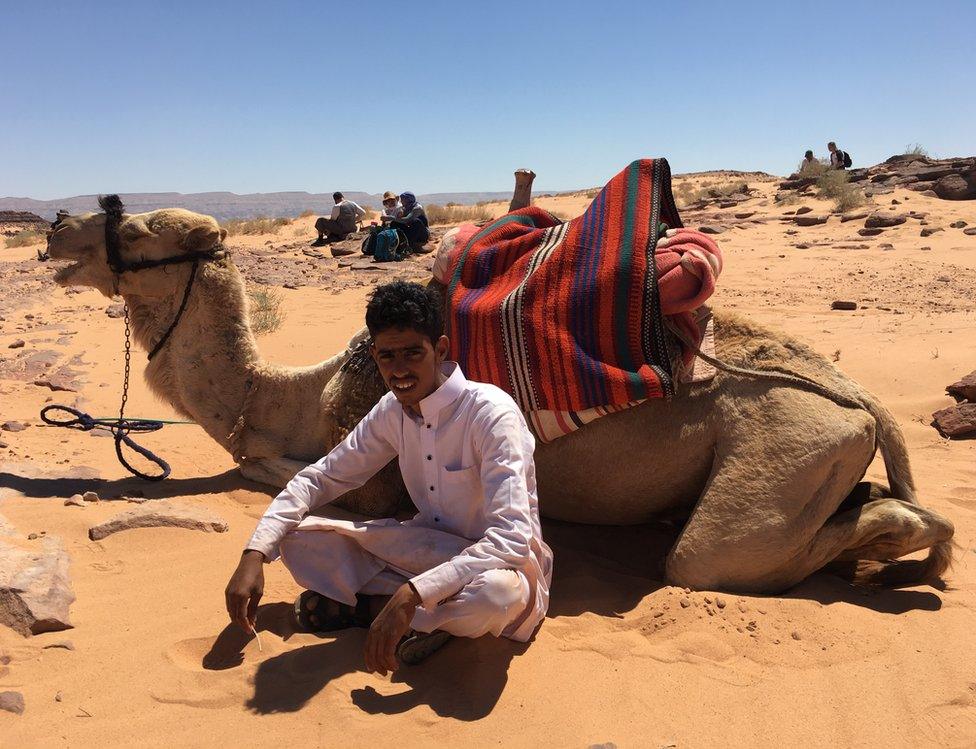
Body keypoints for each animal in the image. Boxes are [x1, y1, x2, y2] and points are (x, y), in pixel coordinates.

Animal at [45, 178, 952, 592]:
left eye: (135, 229)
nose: (55, 229)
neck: (305, 392)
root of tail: (859, 398)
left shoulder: (366, 469)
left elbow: (274, 473)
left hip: (781, 452)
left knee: (716, 555)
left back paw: (900, 556)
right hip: (822, 448)